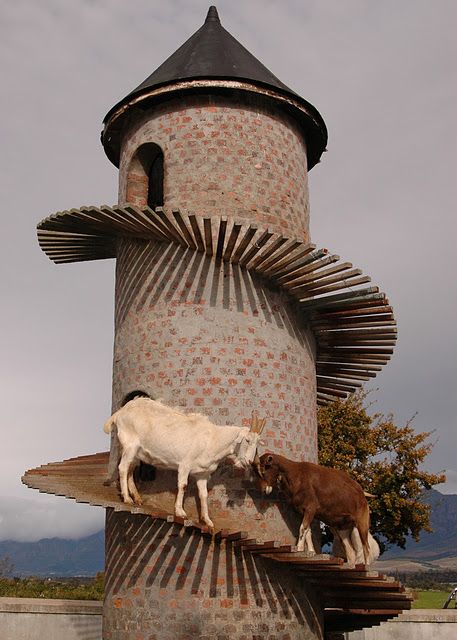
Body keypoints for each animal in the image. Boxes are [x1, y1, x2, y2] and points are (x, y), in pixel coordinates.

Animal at [104, 400, 266, 528]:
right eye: (247, 440)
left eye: (257, 444)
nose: (249, 461)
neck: (213, 439)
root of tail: (120, 412)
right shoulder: (184, 465)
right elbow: (183, 486)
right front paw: (180, 512)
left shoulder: (202, 474)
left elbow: (203, 495)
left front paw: (207, 520)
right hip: (130, 446)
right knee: (123, 468)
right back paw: (127, 498)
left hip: (137, 452)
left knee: (130, 469)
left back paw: (137, 498)